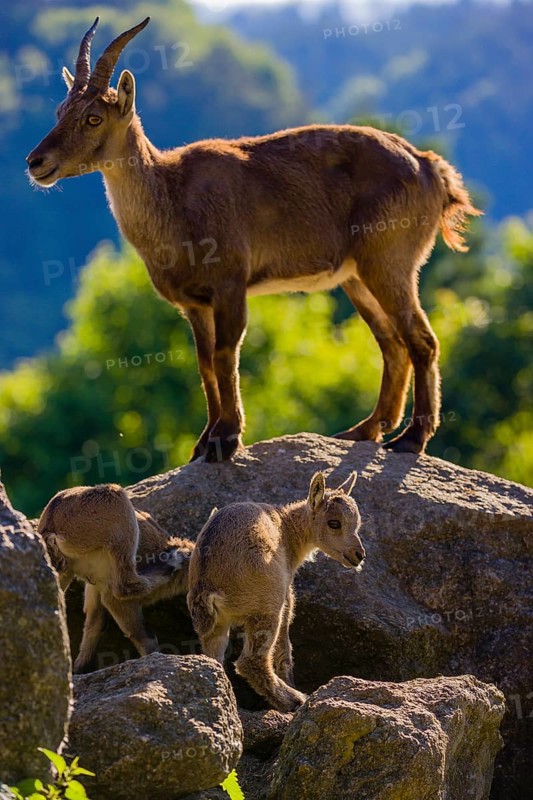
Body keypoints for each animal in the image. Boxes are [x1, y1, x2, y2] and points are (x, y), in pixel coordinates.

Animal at [26, 17, 481, 460]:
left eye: (94, 118)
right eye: (60, 109)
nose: (36, 161)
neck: (173, 200)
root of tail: (431, 168)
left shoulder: (230, 283)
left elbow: (226, 355)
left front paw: (227, 440)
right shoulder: (194, 303)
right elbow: (204, 363)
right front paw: (203, 444)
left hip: (390, 261)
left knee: (422, 340)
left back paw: (411, 438)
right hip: (357, 276)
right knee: (392, 342)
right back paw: (363, 430)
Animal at [38, 483, 193, 673]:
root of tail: (52, 522)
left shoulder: (95, 589)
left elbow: (94, 624)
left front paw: (81, 668)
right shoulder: (114, 599)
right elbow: (143, 635)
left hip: (63, 572)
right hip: (118, 506)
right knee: (125, 585)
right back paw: (173, 560)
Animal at [187, 471, 364, 712]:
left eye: (357, 523)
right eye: (334, 523)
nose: (359, 555)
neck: (287, 529)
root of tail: (207, 585)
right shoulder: (286, 598)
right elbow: (284, 649)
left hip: (218, 625)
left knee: (214, 658)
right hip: (266, 607)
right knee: (250, 661)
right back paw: (294, 699)